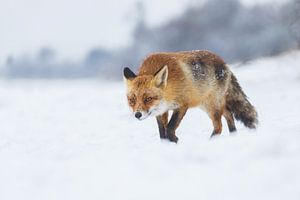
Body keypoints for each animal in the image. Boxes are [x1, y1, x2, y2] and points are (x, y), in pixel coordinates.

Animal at [123, 50, 256, 143]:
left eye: (148, 99)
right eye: (132, 100)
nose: (137, 114)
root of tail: (224, 63)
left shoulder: (182, 105)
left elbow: (170, 127)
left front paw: (174, 140)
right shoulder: (161, 111)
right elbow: (162, 132)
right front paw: (167, 144)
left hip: (212, 106)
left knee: (219, 126)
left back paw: (211, 141)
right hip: (207, 104)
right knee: (229, 114)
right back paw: (233, 135)